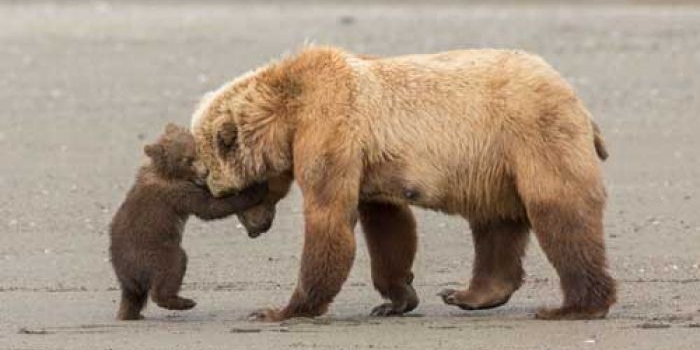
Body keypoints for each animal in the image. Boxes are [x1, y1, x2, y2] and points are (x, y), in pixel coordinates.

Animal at [189, 45, 616, 322]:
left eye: (229, 194)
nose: (255, 229)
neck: (288, 114)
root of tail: (576, 98)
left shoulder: (330, 130)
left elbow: (329, 218)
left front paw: (281, 309)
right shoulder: (369, 165)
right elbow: (388, 227)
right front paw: (395, 299)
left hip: (533, 134)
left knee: (559, 211)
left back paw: (575, 306)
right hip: (495, 166)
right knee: (495, 222)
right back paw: (469, 294)